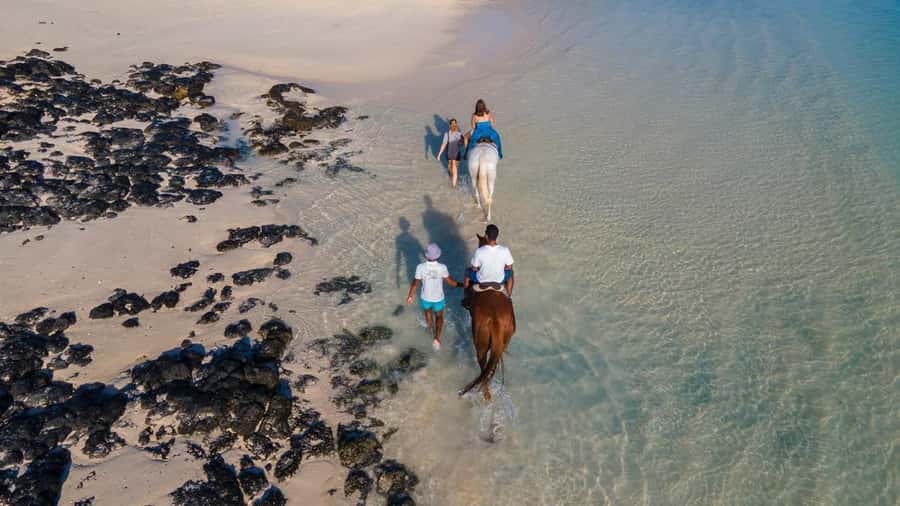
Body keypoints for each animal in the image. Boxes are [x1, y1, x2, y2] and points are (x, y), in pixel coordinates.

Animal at [458, 234, 516, 401]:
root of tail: (495, 320)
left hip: (480, 343)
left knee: (483, 366)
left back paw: (484, 390)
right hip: (503, 341)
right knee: (492, 366)